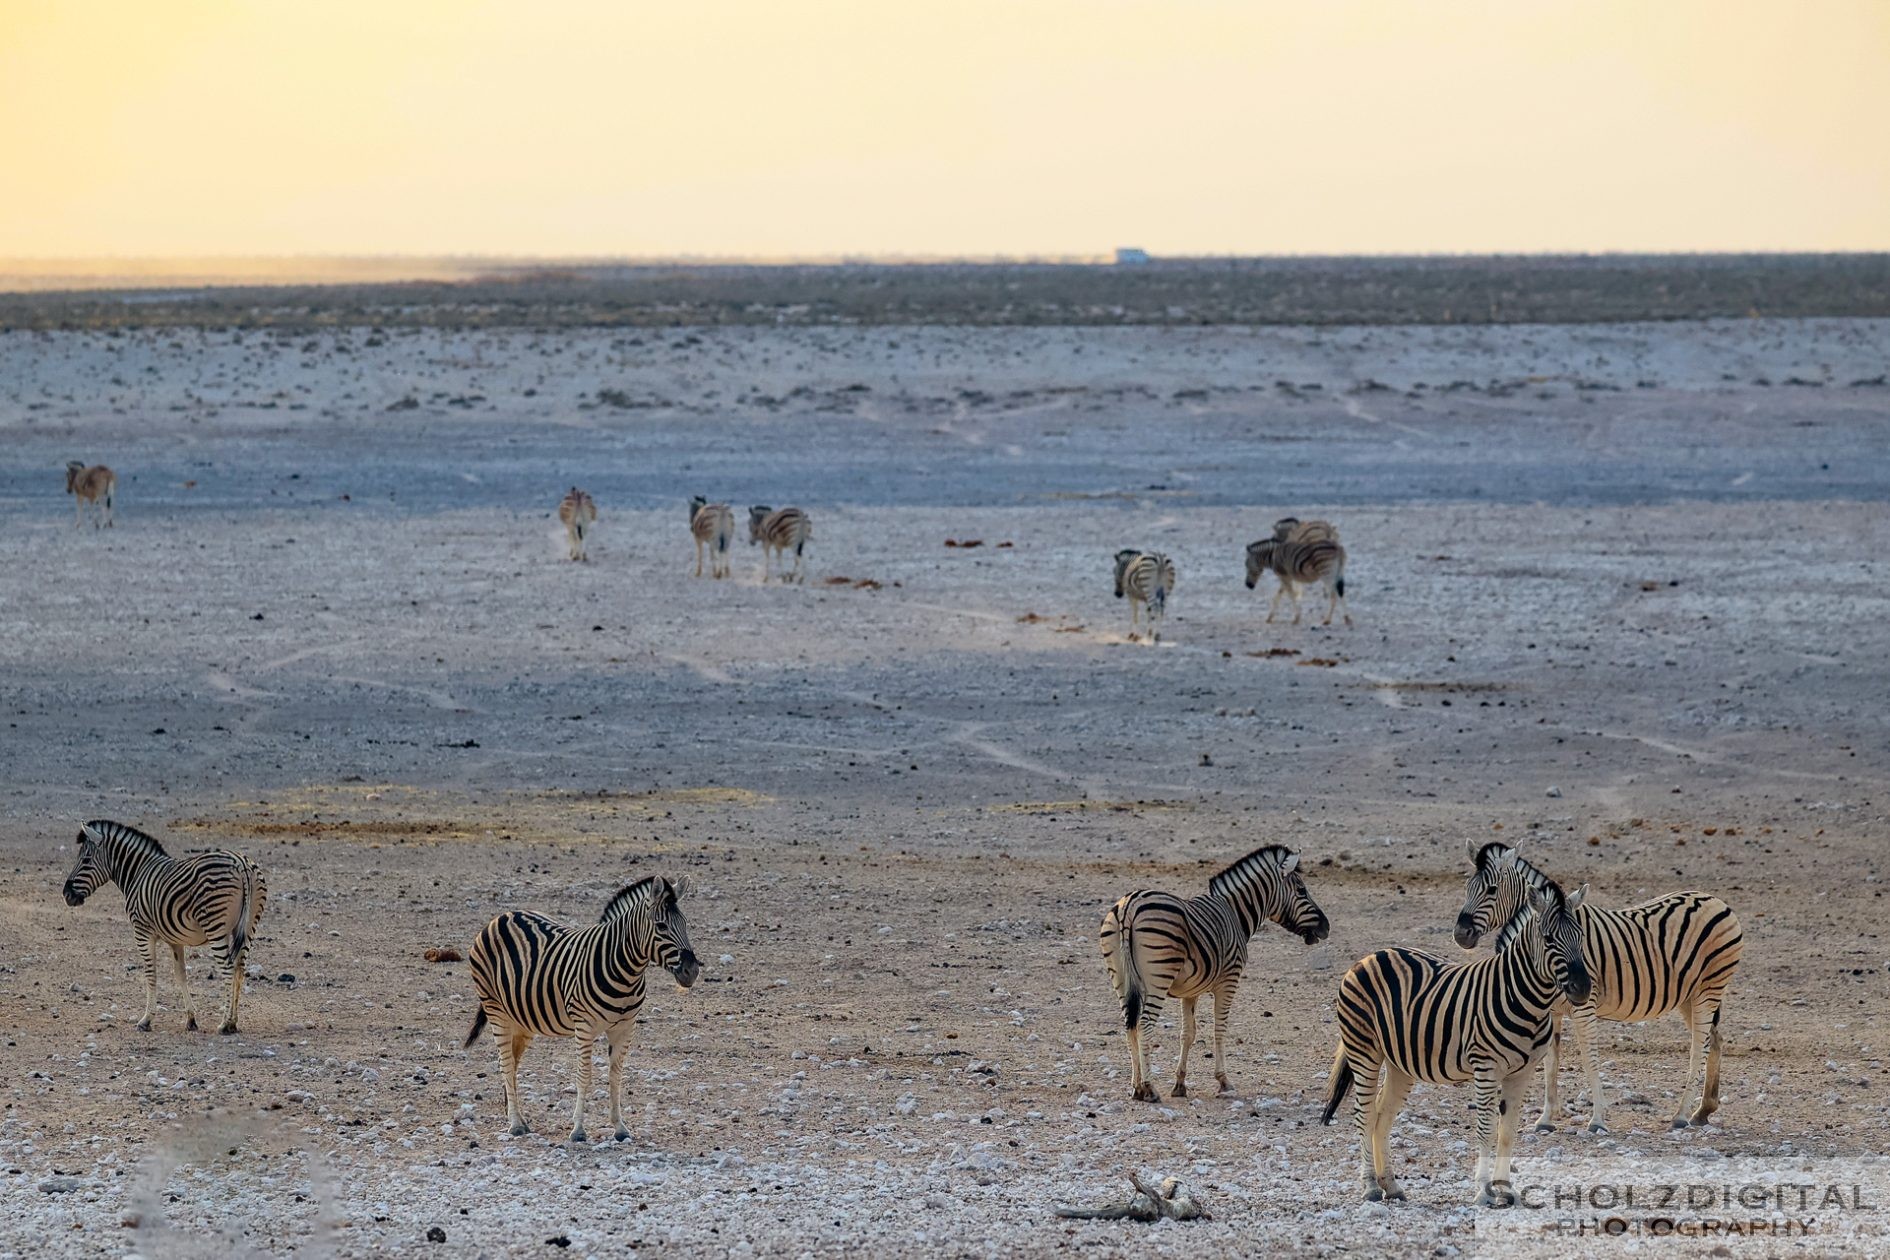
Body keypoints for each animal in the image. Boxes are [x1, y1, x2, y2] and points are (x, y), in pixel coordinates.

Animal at [60, 819, 266, 1035]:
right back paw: (233, 1022)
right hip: (248, 926)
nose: (66, 894)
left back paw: (225, 1023)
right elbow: (180, 975)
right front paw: (190, 1019)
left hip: (215, 925)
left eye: (86, 860)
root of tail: (241, 863)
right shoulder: (175, 939)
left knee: (227, 968)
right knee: (239, 968)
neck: (137, 873)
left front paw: (146, 1019)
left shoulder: (142, 931)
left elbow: (151, 974)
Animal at [464, 876, 703, 1140]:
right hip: (495, 1008)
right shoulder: (585, 1025)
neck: (624, 969)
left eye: (685, 924)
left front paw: (620, 1127)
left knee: (512, 1063)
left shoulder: (626, 1027)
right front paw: (578, 1129)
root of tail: (502, 916)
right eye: (661, 926)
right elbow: (584, 1076)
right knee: (506, 1064)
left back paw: (517, 1116)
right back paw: (516, 1124)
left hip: (522, 1017)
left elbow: (616, 1076)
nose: (692, 971)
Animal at [1096, 846, 1330, 1103]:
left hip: (1120, 978)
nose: (1326, 927)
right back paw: (1149, 1087)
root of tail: (1128, 905)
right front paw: (1223, 1081)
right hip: (1158, 977)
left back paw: (1137, 1087)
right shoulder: (1229, 981)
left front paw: (1180, 1084)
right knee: (1145, 1024)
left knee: (1130, 1025)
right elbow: (1220, 1028)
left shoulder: (1190, 991)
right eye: (1301, 891)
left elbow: (1188, 1033)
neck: (1235, 914)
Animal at [1330, 884, 1595, 1208]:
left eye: (1581, 936)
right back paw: (1369, 1187)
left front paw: (1506, 1190)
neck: (1524, 998)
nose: (1582, 988)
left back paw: (1391, 1186)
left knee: (1383, 1116)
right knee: (1365, 1115)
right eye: (1548, 939)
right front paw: (1483, 1191)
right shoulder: (1486, 1067)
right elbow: (1486, 1129)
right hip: (1363, 1049)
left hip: (1399, 1063)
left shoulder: (1522, 1072)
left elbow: (1507, 1132)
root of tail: (1370, 956)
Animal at [1451, 846, 1746, 1133]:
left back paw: (1682, 1115)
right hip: (1688, 996)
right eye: (1466, 886)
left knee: (1699, 1048)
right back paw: (1703, 1110)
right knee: (1714, 1040)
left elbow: (1589, 1059)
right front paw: (1546, 1119)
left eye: (1491, 889)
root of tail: (1714, 899)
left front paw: (1597, 1120)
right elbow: (1550, 1064)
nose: (1460, 934)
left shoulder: (1583, 1006)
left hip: (1709, 988)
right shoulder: (1551, 1011)